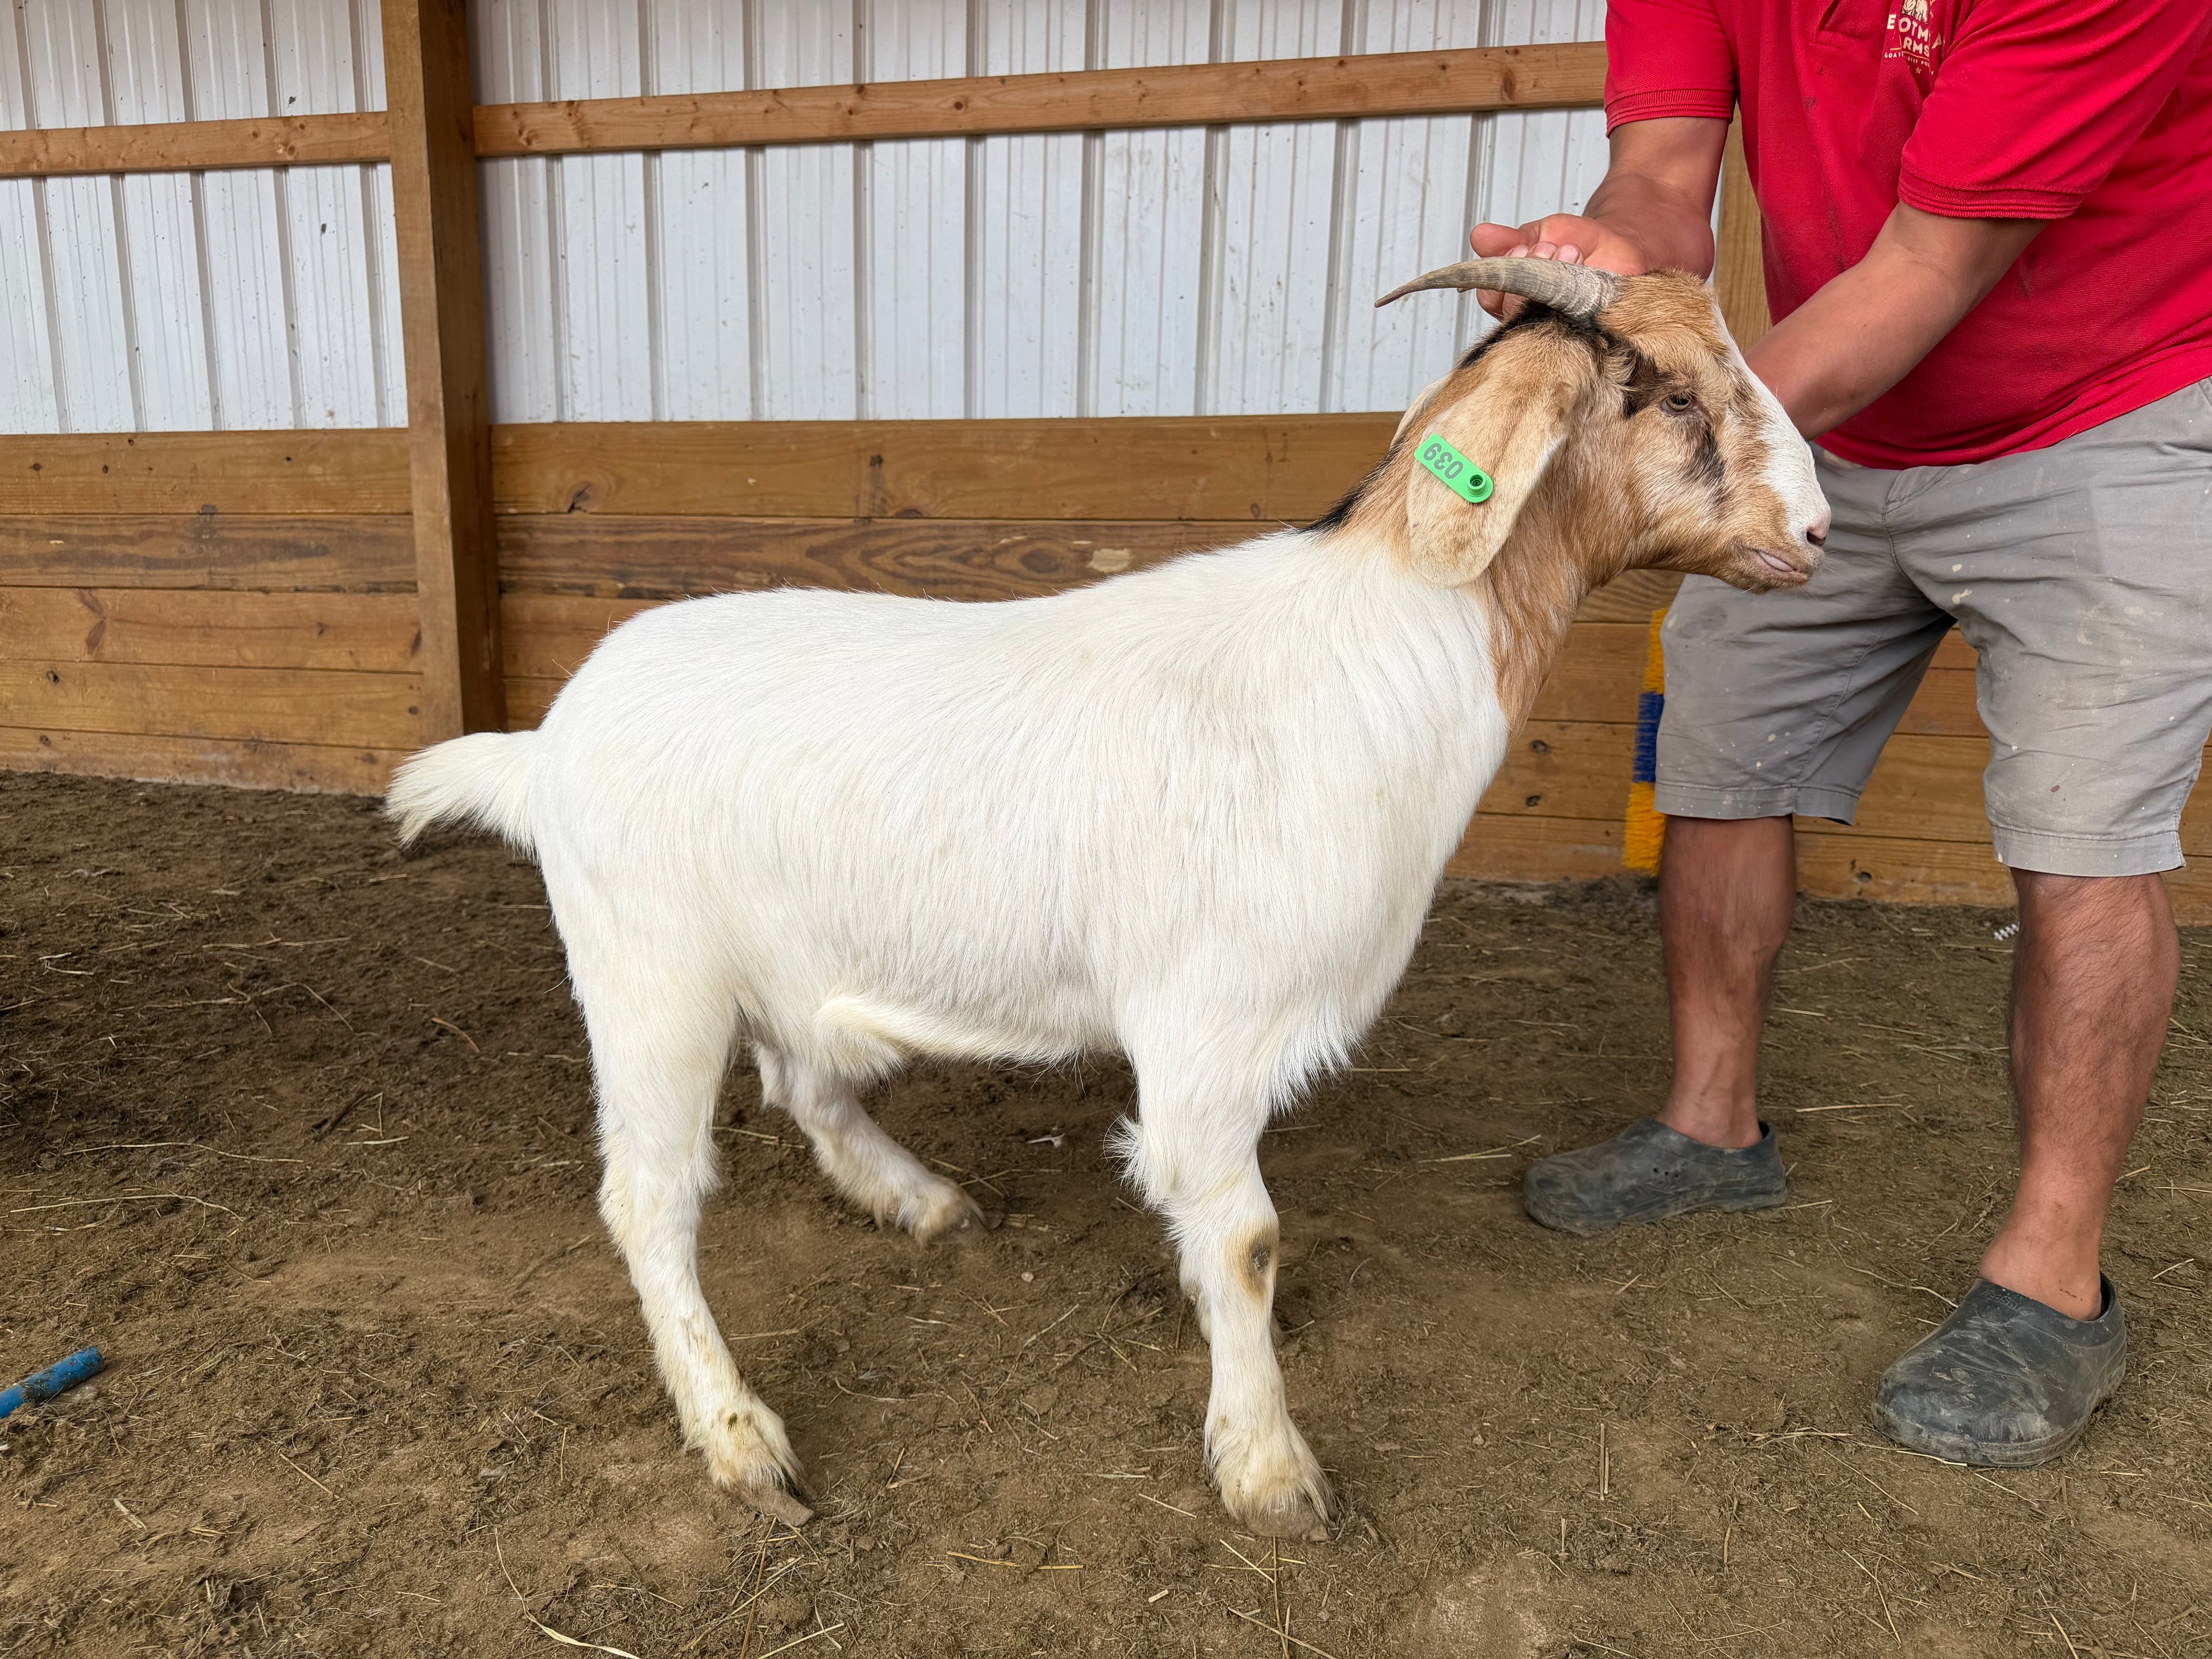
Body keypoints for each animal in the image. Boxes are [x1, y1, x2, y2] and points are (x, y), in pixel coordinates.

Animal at [389, 259, 1830, 1540]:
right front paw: (1268, 1469)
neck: (1375, 654)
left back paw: (919, 1202)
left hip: (781, 970)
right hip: (650, 981)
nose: (1818, 533)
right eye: (1676, 397)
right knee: (651, 1198)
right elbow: (1241, 1234)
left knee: (804, 1086)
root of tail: (548, 741)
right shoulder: (1207, 1022)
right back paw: (741, 1440)